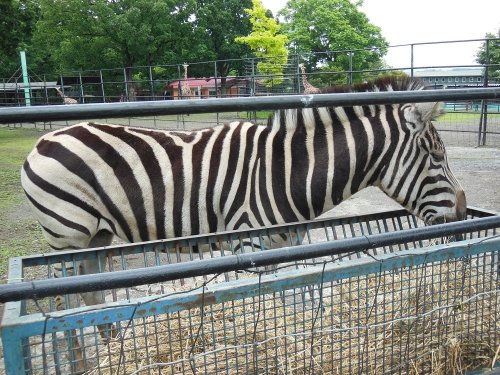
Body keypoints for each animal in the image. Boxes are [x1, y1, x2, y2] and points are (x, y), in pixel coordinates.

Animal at [19, 75, 464, 306]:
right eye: (436, 157)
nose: (462, 215)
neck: (288, 172)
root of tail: (46, 138)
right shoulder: (249, 246)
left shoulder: (285, 246)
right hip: (66, 234)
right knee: (64, 300)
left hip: (97, 236)